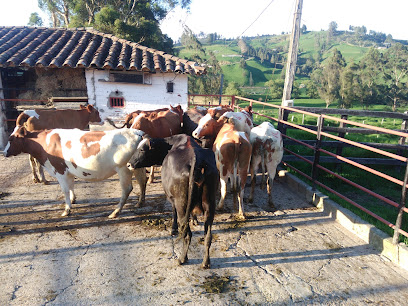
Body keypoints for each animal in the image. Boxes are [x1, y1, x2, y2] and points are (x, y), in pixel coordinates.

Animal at [128, 134, 218, 268]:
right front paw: (195, 220)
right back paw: (206, 262)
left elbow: (173, 212)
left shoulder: (172, 199)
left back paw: (182, 258)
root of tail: (196, 159)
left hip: (181, 203)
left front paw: (173, 228)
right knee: (208, 236)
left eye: (142, 149)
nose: (129, 164)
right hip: (210, 204)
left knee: (186, 233)